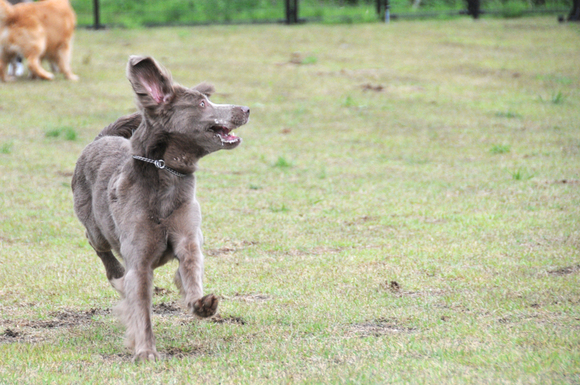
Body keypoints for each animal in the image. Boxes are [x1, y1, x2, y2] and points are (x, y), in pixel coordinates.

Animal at [72, 55, 249, 362]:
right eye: (202, 104)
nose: (246, 109)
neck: (166, 174)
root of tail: (100, 138)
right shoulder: (140, 260)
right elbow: (141, 307)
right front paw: (145, 351)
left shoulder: (188, 237)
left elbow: (190, 270)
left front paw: (201, 304)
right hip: (95, 228)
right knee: (100, 248)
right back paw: (116, 275)